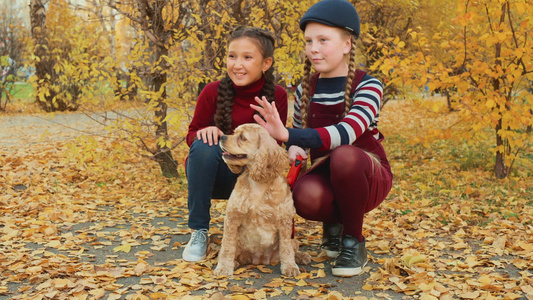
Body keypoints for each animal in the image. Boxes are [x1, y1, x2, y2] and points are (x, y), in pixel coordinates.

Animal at [213, 122, 310, 276]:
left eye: (242, 137)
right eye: (234, 133)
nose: (221, 137)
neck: (258, 184)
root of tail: (260, 260)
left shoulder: (285, 221)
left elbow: (286, 249)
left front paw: (290, 267)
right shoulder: (232, 218)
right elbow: (227, 247)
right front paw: (223, 267)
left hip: (293, 238)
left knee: (292, 247)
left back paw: (302, 256)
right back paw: (234, 262)